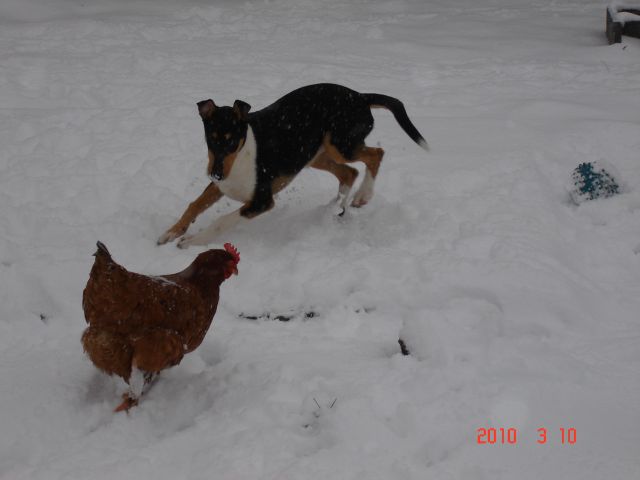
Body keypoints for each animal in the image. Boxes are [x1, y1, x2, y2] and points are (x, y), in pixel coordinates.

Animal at [157, 82, 428, 248]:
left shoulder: (261, 201)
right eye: (211, 139)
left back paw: (362, 196)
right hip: (315, 154)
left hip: (341, 144)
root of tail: (360, 96)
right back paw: (333, 208)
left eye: (232, 141)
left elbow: (222, 221)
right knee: (349, 173)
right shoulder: (219, 186)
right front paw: (170, 233)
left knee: (375, 154)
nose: (215, 173)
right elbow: (194, 205)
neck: (241, 156)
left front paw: (191, 242)